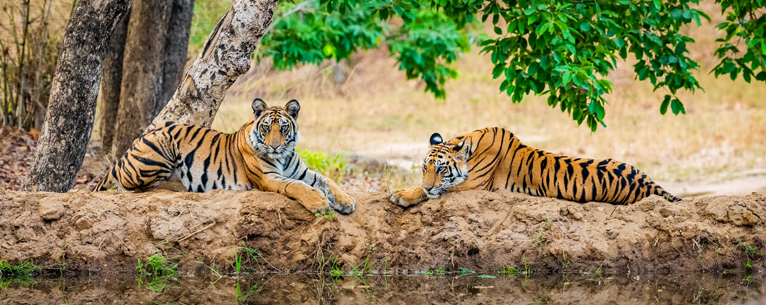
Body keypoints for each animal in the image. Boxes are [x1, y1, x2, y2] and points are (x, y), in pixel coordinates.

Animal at [95, 98, 356, 214]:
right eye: (266, 128)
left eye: (283, 128)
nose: (274, 147)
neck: (283, 156)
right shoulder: (269, 178)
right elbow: (297, 187)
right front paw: (320, 203)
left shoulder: (303, 172)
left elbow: (327, 181)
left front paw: (345, 201)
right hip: (162, 143)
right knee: (136, 188)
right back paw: (181, 186)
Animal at [390, 126, 684, 207]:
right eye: (424, 168)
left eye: (441, 169)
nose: (429, 185)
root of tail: (649, 183)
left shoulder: (473, 185)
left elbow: (432, 191)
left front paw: (401, 195)